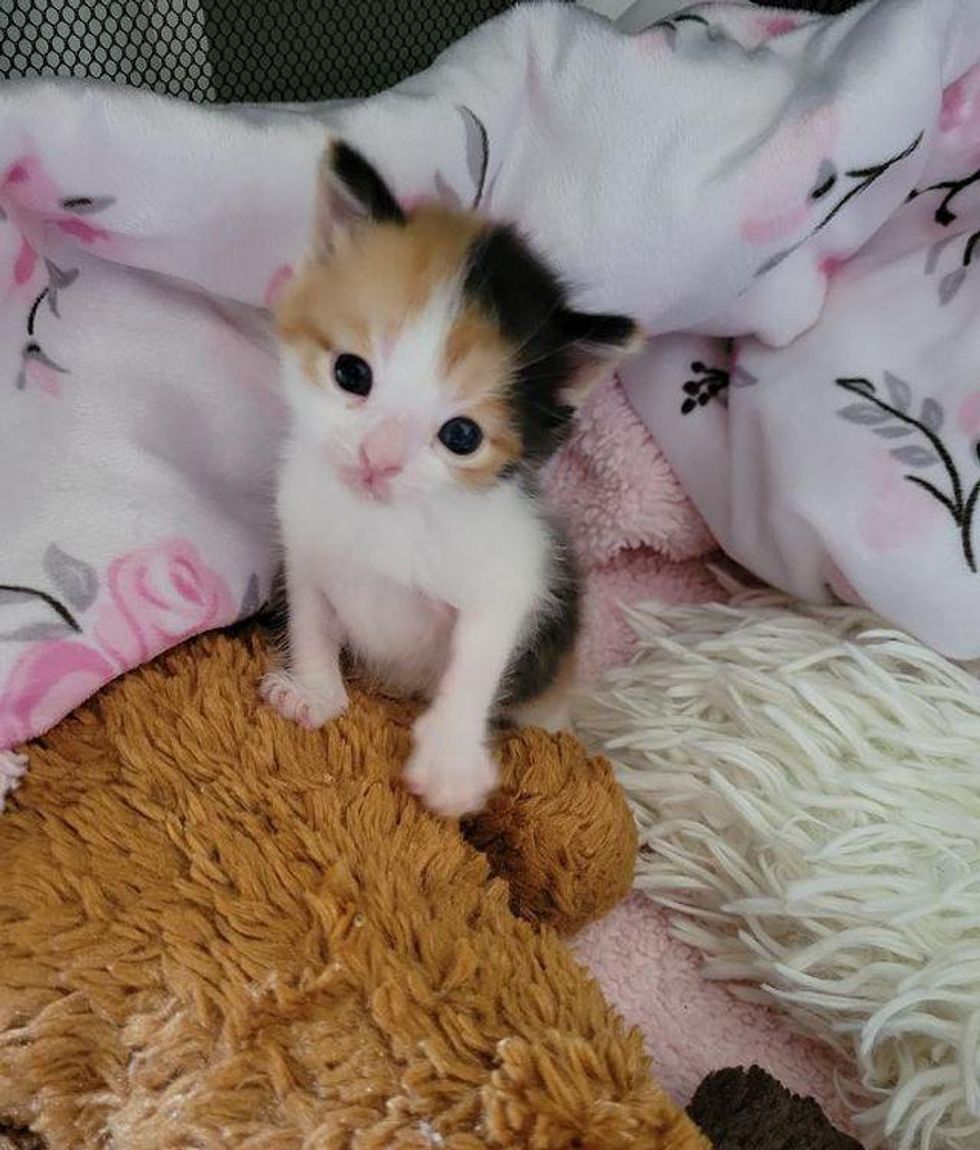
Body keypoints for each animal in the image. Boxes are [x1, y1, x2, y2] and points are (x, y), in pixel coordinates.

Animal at [264, 139, 639, 814]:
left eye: (461, 436)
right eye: (351, 373)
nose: (378, 458)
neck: (384, 520)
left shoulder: (514, 570)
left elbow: (476, 659)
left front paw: (449, 765)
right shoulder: (303, 543)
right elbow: (311, 618)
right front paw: (314, 694)